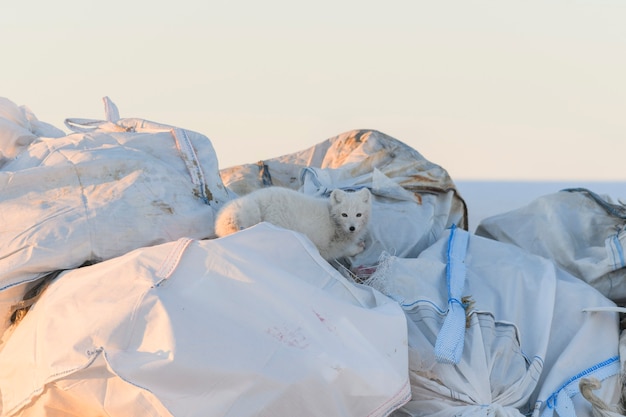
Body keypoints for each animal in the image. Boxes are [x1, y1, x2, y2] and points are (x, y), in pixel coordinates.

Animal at [214, 186, 370, 260]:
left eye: (358, 215)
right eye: (344, 215)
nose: (352, 228)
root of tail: (254, 198)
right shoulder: (327, 247)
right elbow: (337, 253)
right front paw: (356, 248)